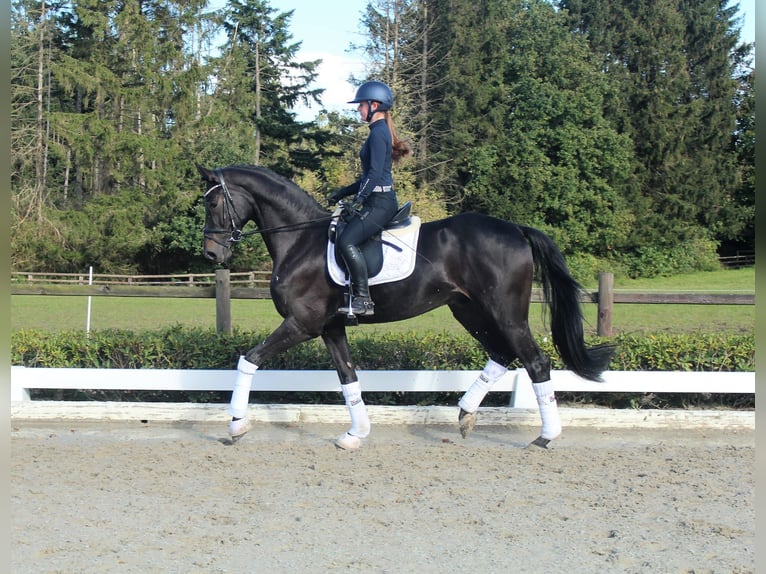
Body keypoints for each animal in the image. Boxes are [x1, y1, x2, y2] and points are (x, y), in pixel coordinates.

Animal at [200, 162, 616, 450]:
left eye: (216, 202)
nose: (211, 254)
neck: (301, 240)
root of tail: (516, 229)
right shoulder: (331, 327)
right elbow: (348, 377)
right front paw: (356, 434)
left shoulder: (303, 323)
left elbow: (249, 359)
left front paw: (236, 424)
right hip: (469, 311)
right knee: (502, 354)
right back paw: (465, 415)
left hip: (505, 312)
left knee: (535, 361)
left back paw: (546, 436)